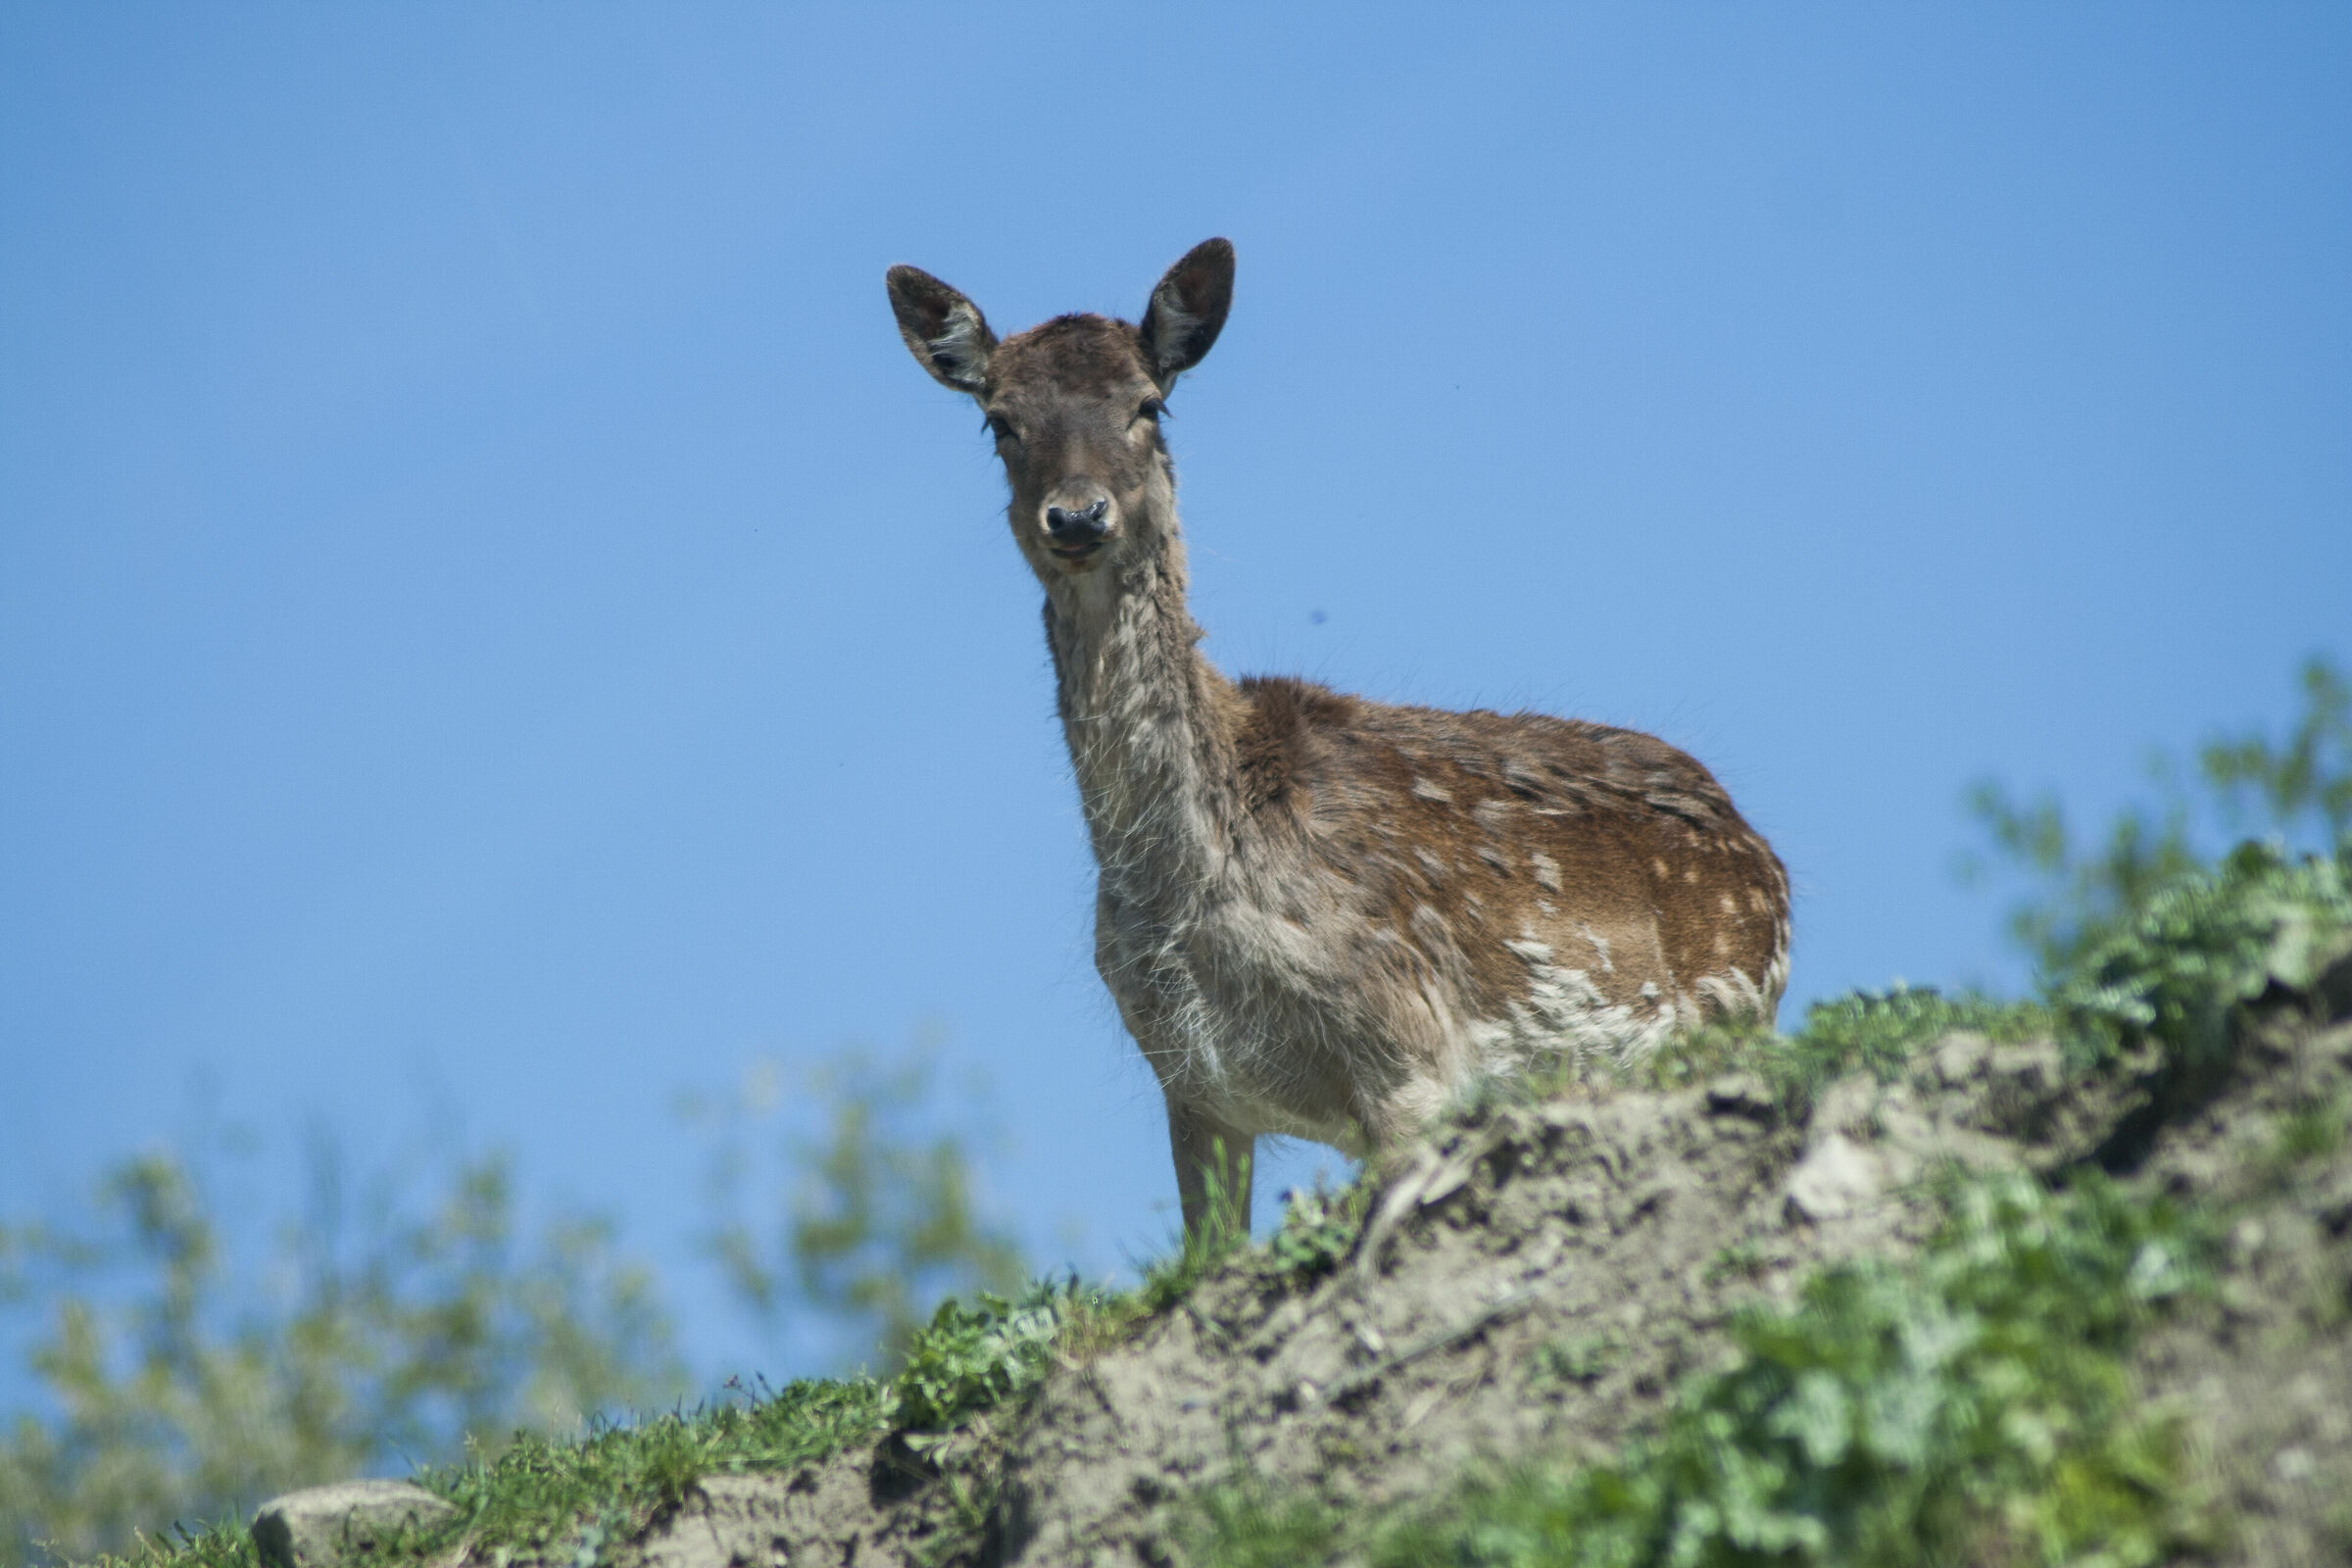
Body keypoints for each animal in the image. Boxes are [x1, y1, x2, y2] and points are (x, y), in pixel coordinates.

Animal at [886, 239, 1790, 1238]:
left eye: (1149, 403)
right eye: (999, 421)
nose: (1077, 516)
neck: (1190, 887)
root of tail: (1763, 855)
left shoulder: (1407, 1045)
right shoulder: (1193, 1085)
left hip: (1729, 1004)